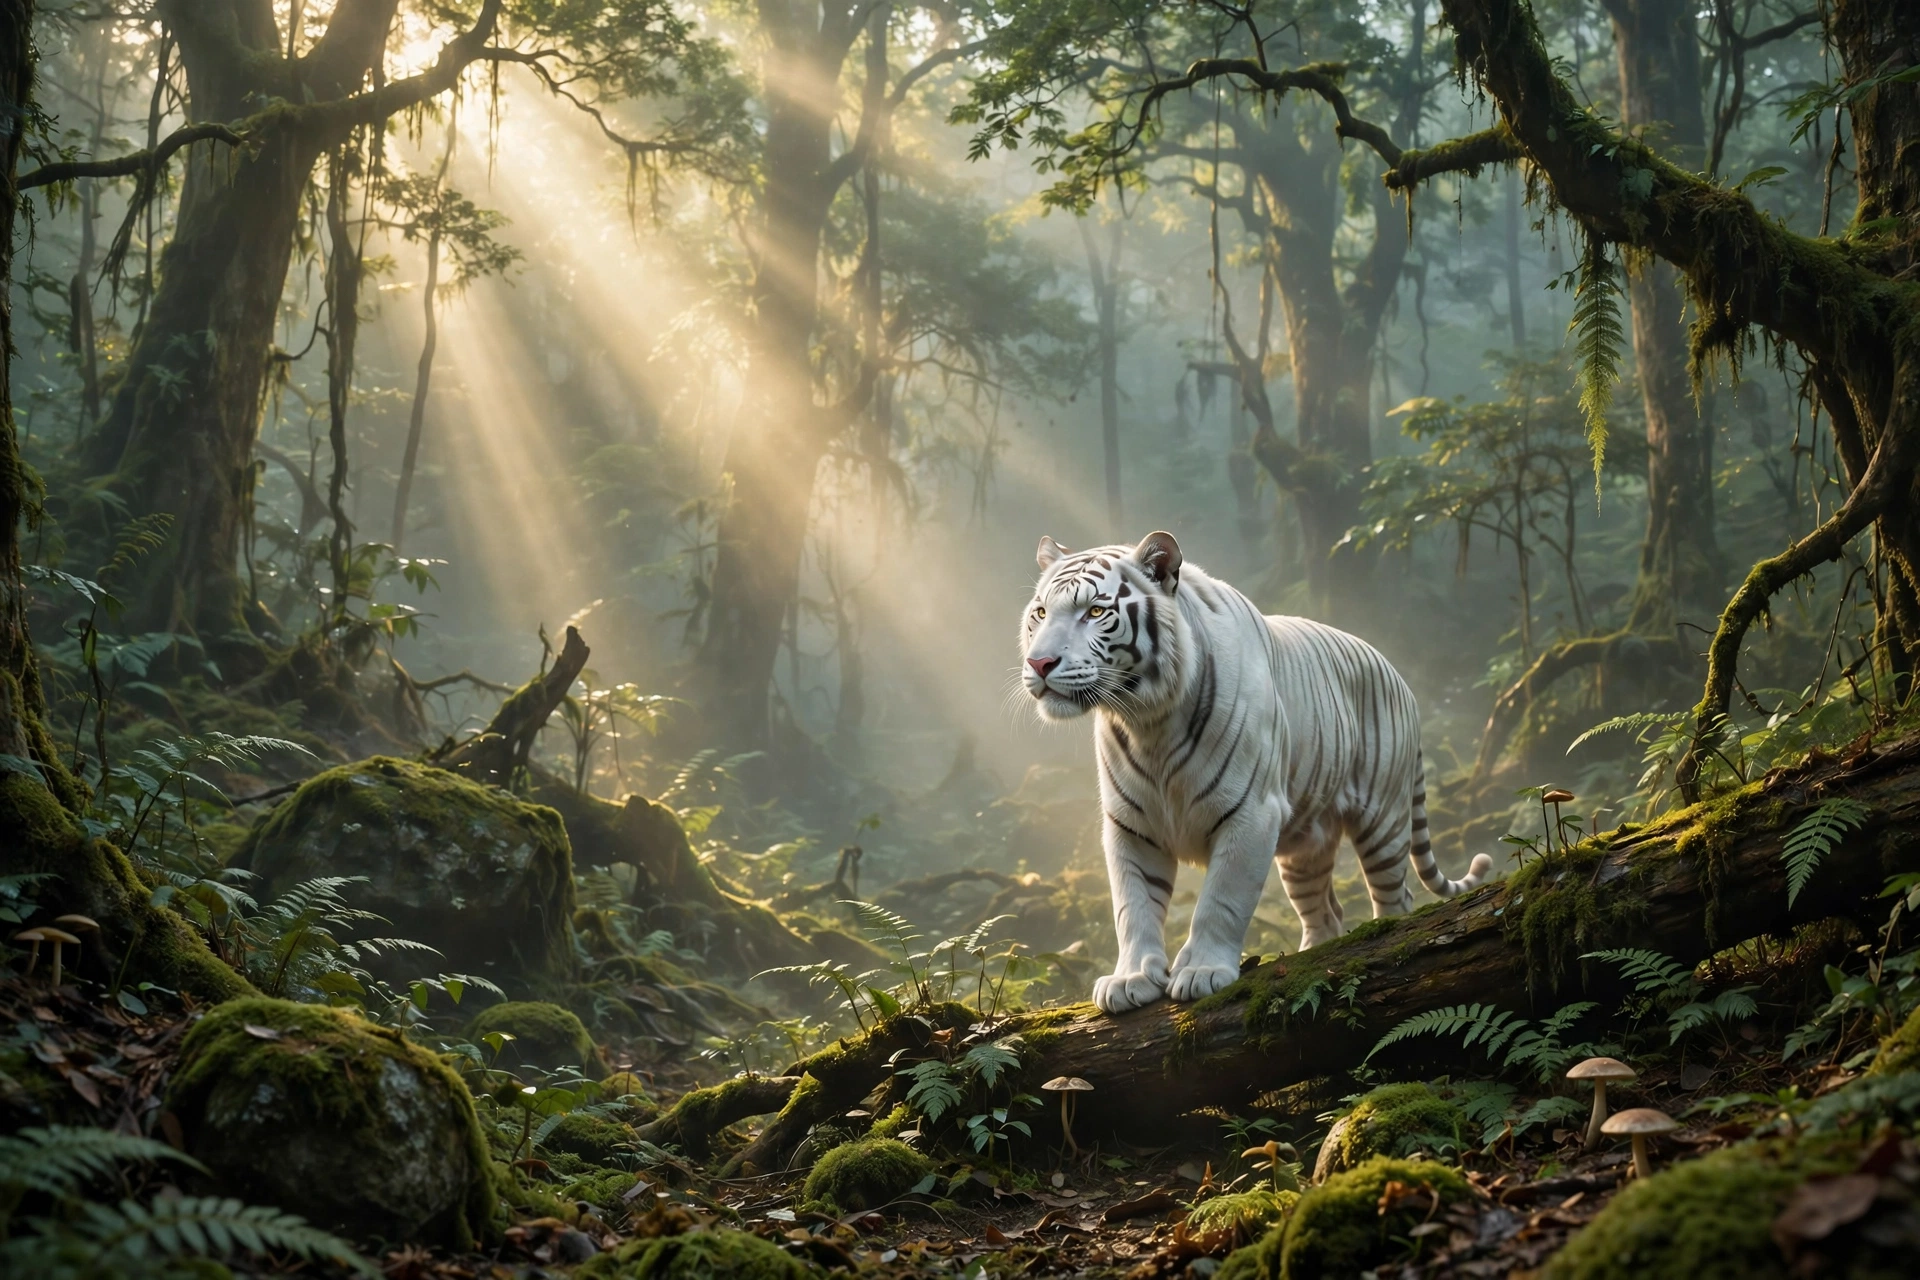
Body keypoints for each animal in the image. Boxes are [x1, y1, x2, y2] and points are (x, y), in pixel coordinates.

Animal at [1018, 530, 1493, 1014]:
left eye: (1095, 612)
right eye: (1041, 613)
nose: (1039, 664)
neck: (1147, 720)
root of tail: (1400, 678)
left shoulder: (1250, 813)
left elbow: (1221, 900)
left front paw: (1202, 971)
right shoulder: (1130, 825)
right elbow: (1133, 906)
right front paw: (1130, 979)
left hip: (1384, 821)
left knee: (1396, 897)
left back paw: (1385, 939)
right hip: (1305, 849)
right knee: (1325, 912)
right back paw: (1312, 956)